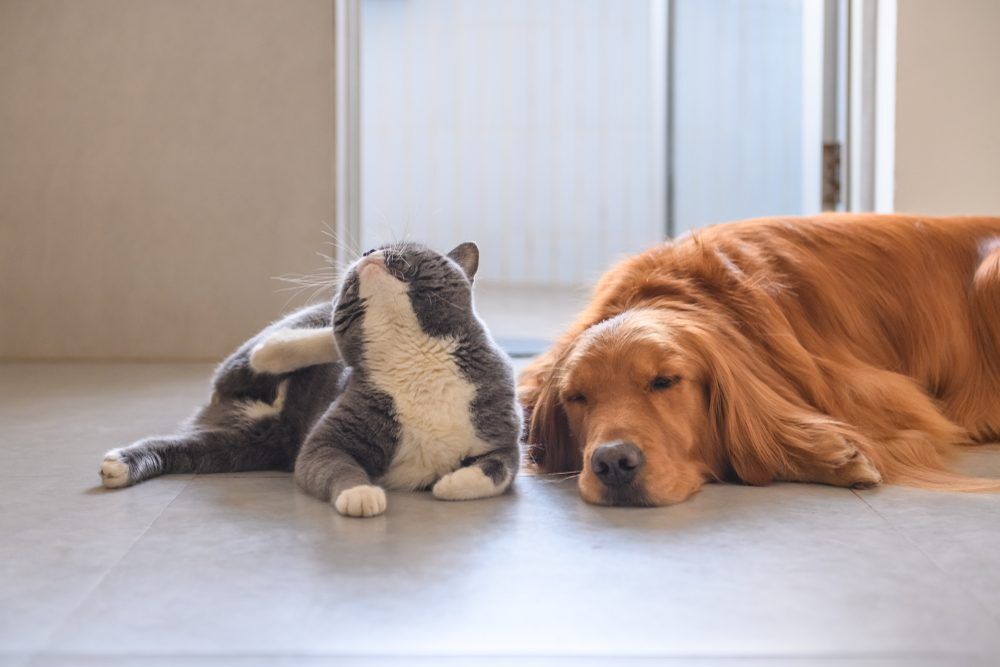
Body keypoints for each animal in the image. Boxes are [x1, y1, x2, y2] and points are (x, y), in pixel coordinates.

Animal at [99, 243, 524, 520]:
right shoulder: (327, 441)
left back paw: (120, 466)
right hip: (250, 369)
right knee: (270, 351)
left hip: (245, 445)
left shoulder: (505, 436)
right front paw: (361, 494)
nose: (369, 250)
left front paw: (451, 483)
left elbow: (499, 470)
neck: (412, 357)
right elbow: (332, 464)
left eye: (407, 246)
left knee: (186, 446)